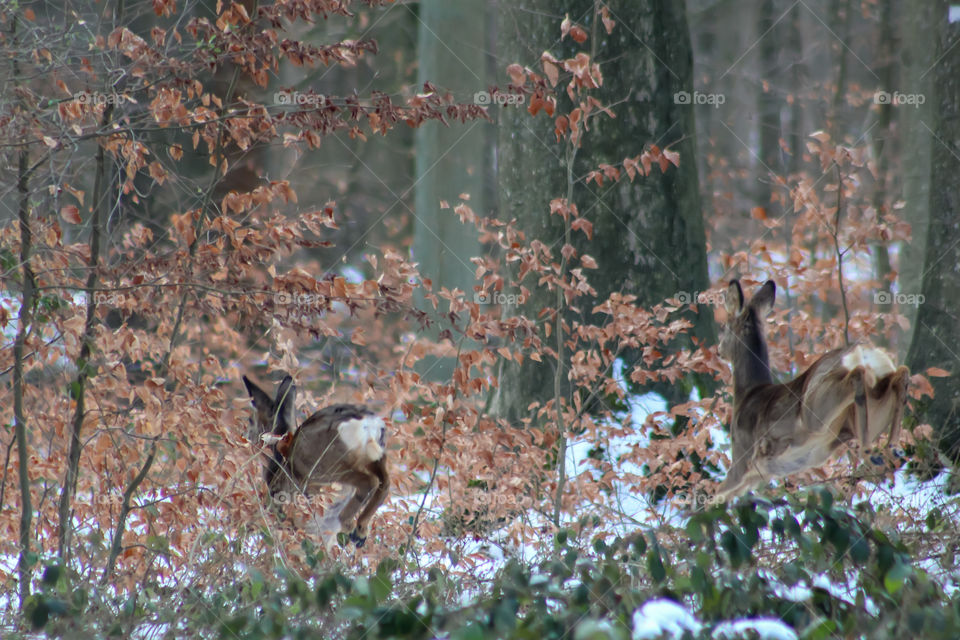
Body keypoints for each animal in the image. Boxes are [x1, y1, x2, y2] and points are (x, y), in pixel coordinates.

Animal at [242, 376, 388, 552]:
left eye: (251, 420)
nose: (245, 437)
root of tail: (367, 423)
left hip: (325, 468)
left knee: (369, 482)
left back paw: (351, 528)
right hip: (373, 458)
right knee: (384, 484)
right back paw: (359, 532)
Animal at [716, 278, 912, 500]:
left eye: (724, 326)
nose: (719, 350)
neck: (746, 395)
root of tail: (865, 352)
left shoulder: (742, 458)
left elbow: (712, 497)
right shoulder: (758, 475)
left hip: (815, 410)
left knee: (857, 374)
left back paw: (870, 452)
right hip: (872, 408)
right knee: (901, 374)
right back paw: (892, 449)